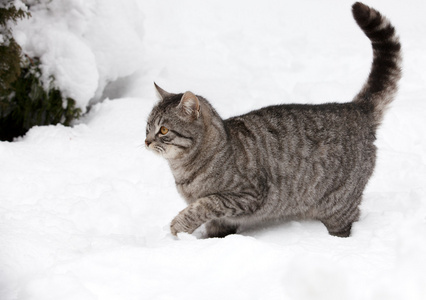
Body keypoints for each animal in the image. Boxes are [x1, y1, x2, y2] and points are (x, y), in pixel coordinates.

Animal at [145, 1, 402, 237]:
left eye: (164, 130)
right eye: (147, 127)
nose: (146, 141)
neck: (184, 169)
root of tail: (355, 107)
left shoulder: (248, 195)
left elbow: (206, 204)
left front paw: (180, 226)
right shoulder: (224, 218)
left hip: (338, 204)